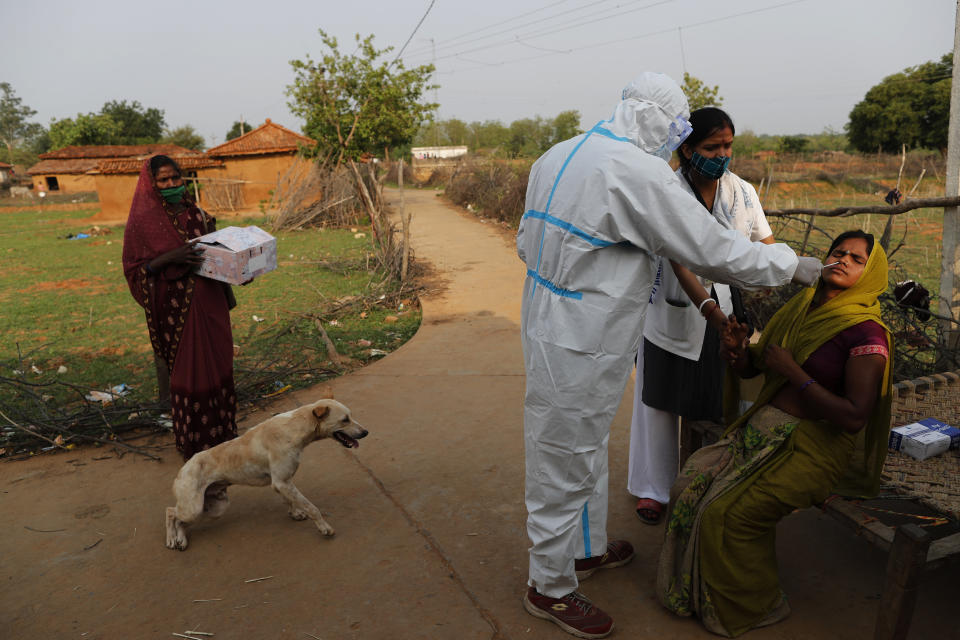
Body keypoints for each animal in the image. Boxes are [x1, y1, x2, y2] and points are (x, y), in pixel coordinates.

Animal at [165, 396, 368, 552]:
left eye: (351, 416)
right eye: (345, 419)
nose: (366, 432)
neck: (294, 427)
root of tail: (182, 470)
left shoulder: (281, 482)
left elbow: (290, 501)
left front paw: (295, 513)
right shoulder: (282, 482)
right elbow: (312, 508)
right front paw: (324, 528)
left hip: (215, 507)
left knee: (180, 520)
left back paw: (181, 540)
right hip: (194, 508)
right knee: (170, 512)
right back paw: (171, 539)